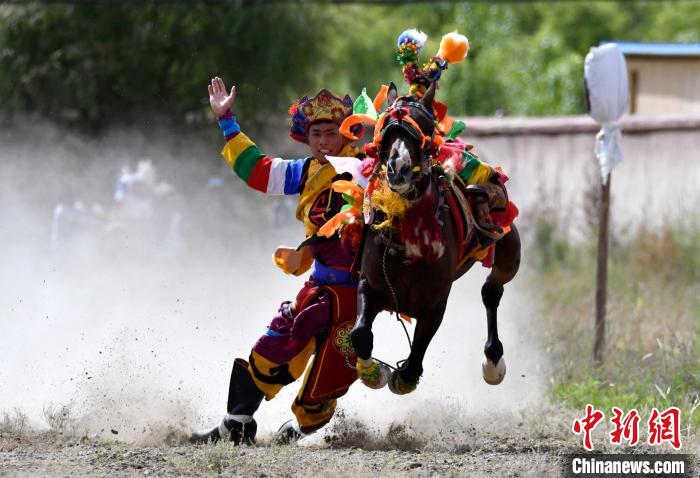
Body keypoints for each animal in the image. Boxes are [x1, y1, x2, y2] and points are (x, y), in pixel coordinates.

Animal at [349, 81, 521, 394]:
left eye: (427, 127)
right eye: (387, 127)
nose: (399, 168)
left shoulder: (435, 304)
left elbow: (415, 358)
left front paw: (402, 377)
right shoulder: (371, 284)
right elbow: (360, 335)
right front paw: (373, 372)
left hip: (507, 245)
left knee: (492, 290)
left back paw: (493, 362)